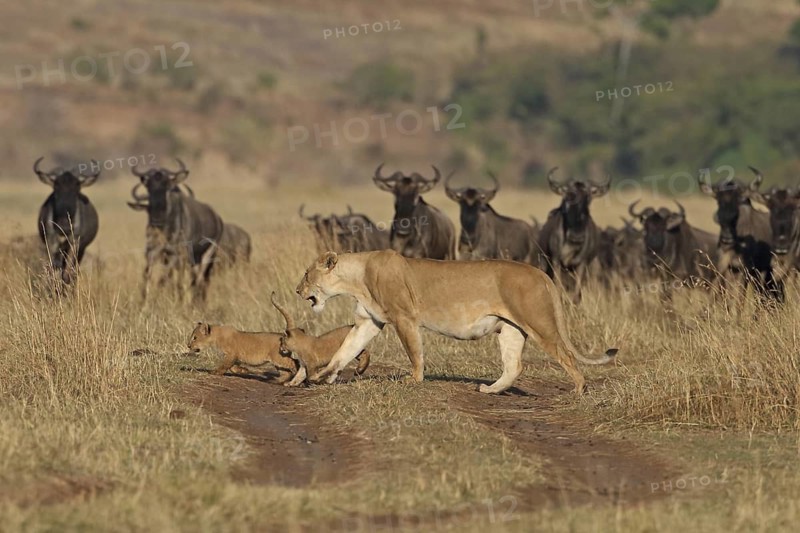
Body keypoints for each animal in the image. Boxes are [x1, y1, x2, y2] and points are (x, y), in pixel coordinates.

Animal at [295, 249, 617, 394]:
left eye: (307, 275)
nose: (297, 291)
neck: (356, 279)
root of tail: (542, 274)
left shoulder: (404, 316)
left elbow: (414, 352)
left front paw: (414, 380)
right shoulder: (369, 322)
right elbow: (345, 350)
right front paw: (324, 376)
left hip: (538, 322)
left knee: (566, 356)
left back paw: (579, 389)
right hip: (510, 328)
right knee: (514, 365)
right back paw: (490, 390)